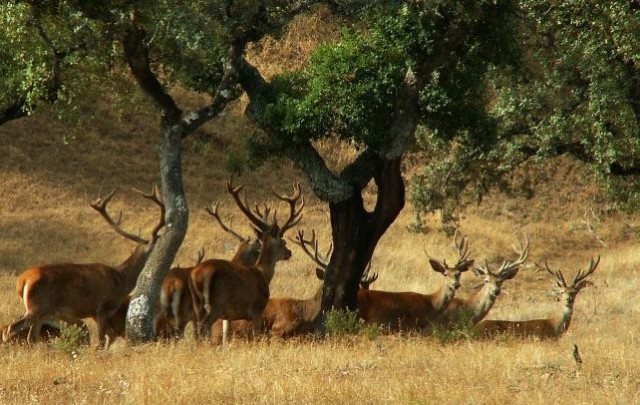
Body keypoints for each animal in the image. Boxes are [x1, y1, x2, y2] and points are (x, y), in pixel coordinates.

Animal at [5, 185, 165, 346]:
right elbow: (101, 340)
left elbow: (107, 337)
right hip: (38, 306)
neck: (121, 281)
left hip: (41, 311)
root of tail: (22, 280)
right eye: (155, 248)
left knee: (31, 336)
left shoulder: (93, 312)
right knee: (12, 328)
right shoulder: (101, 307)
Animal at [189, 178, 304, 340]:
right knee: (204, 327)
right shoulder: (256, 309)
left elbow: (226, 337)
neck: (263, 274)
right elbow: (256, 336)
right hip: (216, 303)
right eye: (283, 242)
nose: (289, 252)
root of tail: (196, 275)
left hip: (197, 304)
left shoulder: (228, 316)